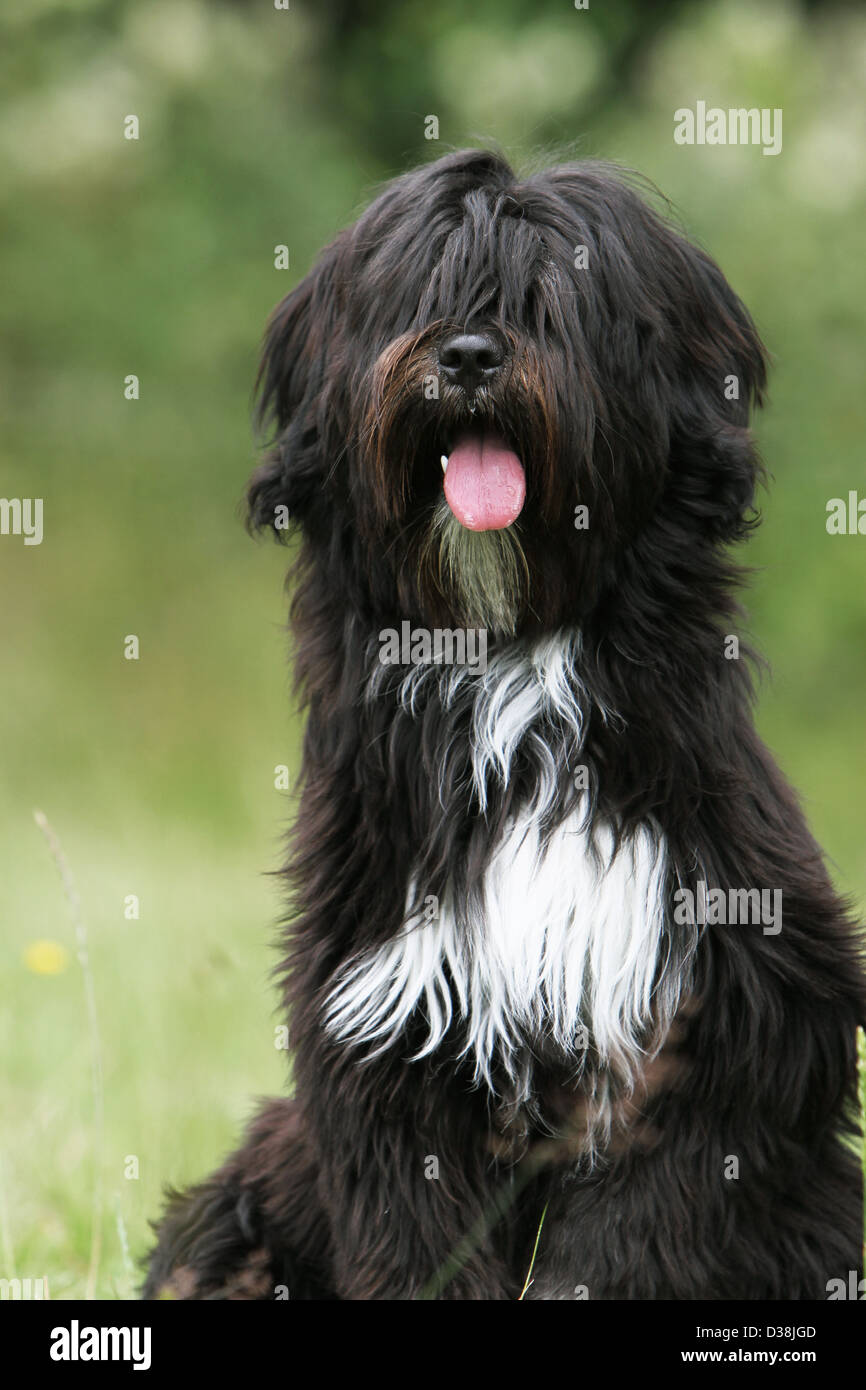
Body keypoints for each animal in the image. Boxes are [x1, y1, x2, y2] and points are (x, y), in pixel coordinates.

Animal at [145, 146, 861, 1295]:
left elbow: (633, 1226)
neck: (511, 673)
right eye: (420, 290)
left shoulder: (727, 1019)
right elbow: (419, 1227)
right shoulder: (387, 1023)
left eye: (552, 298)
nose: (471, 354)